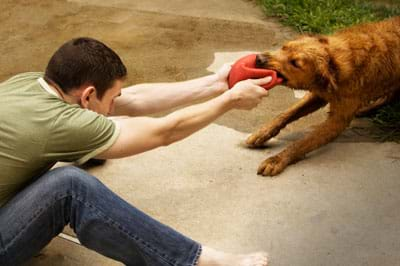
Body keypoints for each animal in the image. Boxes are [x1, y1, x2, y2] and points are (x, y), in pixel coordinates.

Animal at [247, 15, 400, 177]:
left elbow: (302, 143)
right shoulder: (319, 94)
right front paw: (263, 132)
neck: (336, 63)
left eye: (295, 63)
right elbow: (286, 114)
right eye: (284, 47)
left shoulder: (337, 121)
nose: (258, 58)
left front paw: (277, 159)